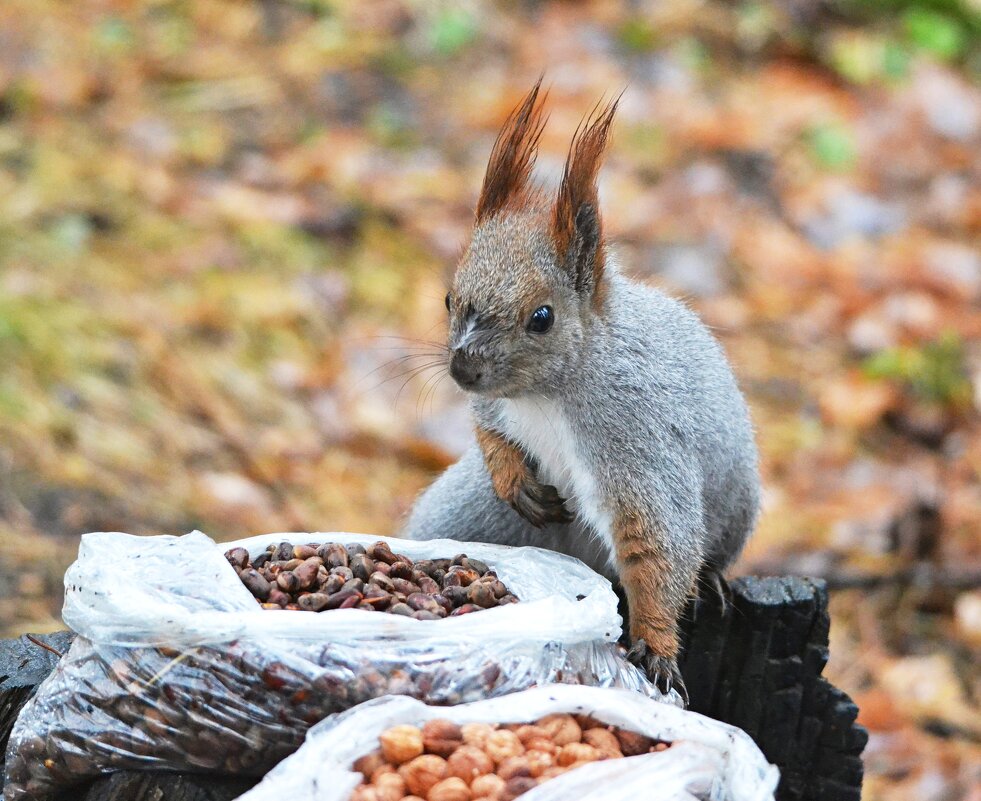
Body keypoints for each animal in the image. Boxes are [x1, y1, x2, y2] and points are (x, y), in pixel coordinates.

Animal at [398, 81, 756, 700]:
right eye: (448, 298)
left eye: (542, 317)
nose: (462, 370)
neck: (547, 394)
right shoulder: (496, 407)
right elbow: (488, 430)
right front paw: (514, 478)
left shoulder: (638, 434)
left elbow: (658, 540)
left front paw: (657, 648)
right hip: (467, 516)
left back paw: (711, 581)